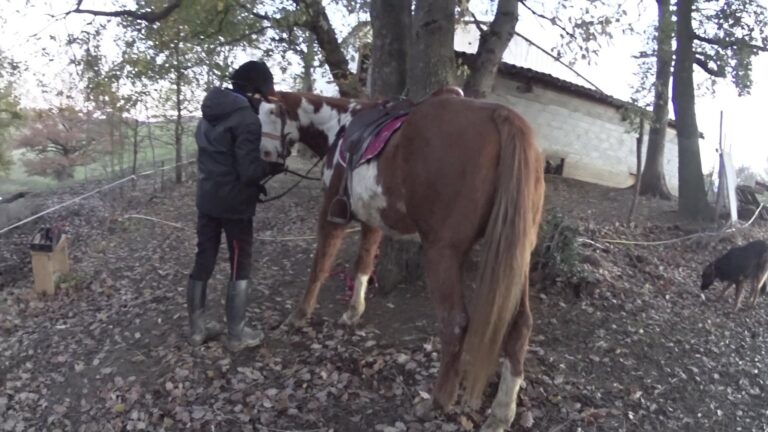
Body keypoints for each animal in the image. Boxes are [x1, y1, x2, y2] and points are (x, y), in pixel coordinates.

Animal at [255, 87, 544, 428]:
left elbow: (320, 266)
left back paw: (437, 403)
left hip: (441, 252)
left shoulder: (332, 215)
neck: (340, 125)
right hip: (518, 256)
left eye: (270, 113)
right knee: (519, 326)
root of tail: (501, 114)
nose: (266, 155)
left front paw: (299, 316)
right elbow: (364, 264)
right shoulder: (371, 221)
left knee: (455, 324)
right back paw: (501, 413)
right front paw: (353, 313)